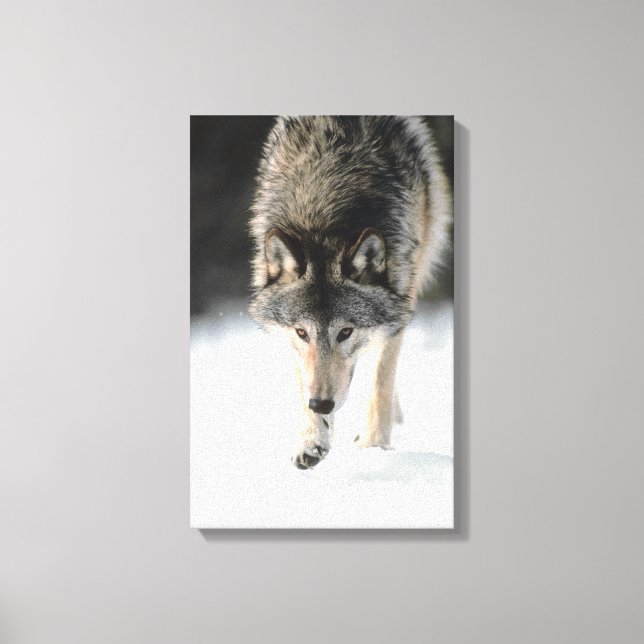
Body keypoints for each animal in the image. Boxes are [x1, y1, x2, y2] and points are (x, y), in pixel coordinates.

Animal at [249, 116, 452, 469]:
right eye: (302, 332)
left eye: (345, 332)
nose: (321, 404)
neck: (323, 221)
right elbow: (305, 379)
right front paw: (312, 440)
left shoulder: (399, 301)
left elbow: (381, 379)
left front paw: (374, 447)